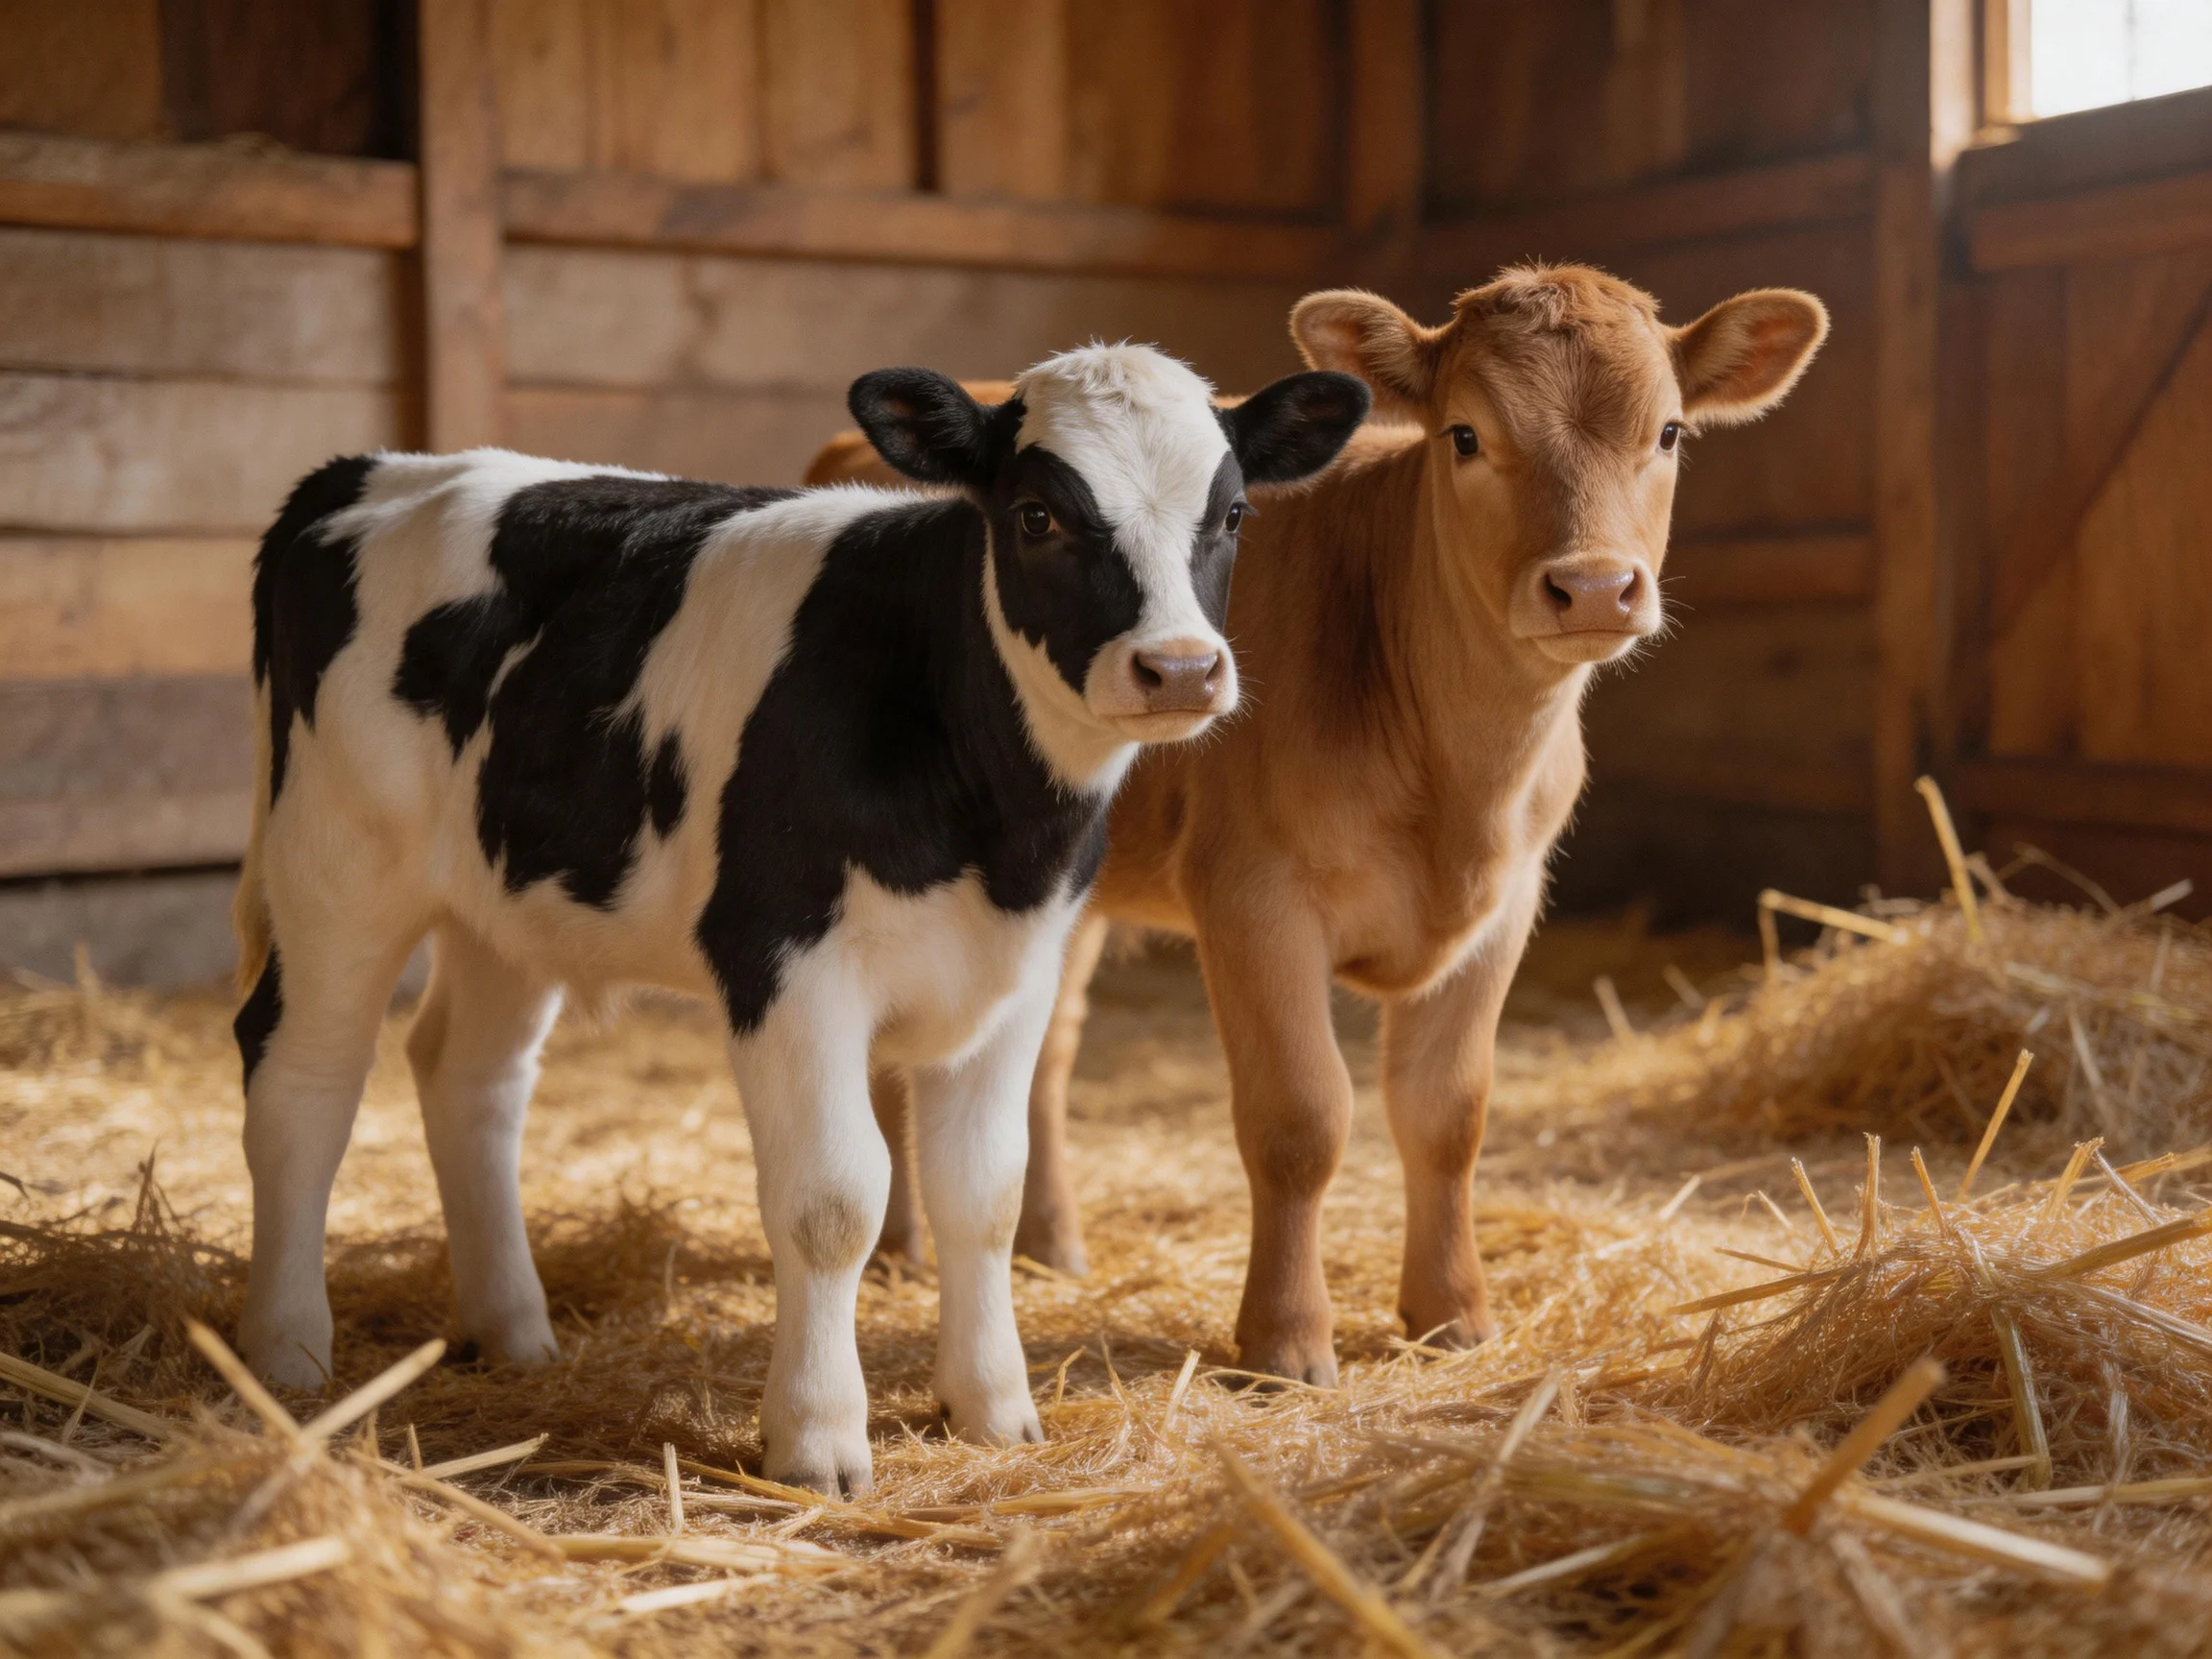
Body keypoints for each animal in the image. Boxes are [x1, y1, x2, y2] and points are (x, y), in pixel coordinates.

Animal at [228, 343, 1369, 1492]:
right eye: (1038, 514)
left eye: (1232, 514)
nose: (1179, 667)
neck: (985, 811)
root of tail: (372, 470)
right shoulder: (783, 964)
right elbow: (834, 1202)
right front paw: (818, 1440)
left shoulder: (1018, 974)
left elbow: (984, 1195)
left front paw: (994, 1410)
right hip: (336, 868)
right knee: (303, 1080)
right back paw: (287, 1356)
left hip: (505, 900)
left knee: (470, 1076)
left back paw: (511, 1330)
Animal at [826, 267, 1829, 1384]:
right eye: (1465, 435)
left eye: (1668, 433)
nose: (1594, 587)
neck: (1458, 781)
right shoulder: (1252, 894)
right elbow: (1300, 1118)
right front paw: (1286, 1339)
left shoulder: (1507, 906)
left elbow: (1448, 1113)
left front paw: (1452, 1313)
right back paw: (900, 1251)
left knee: (1041, 1049)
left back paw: (1052, 1243)